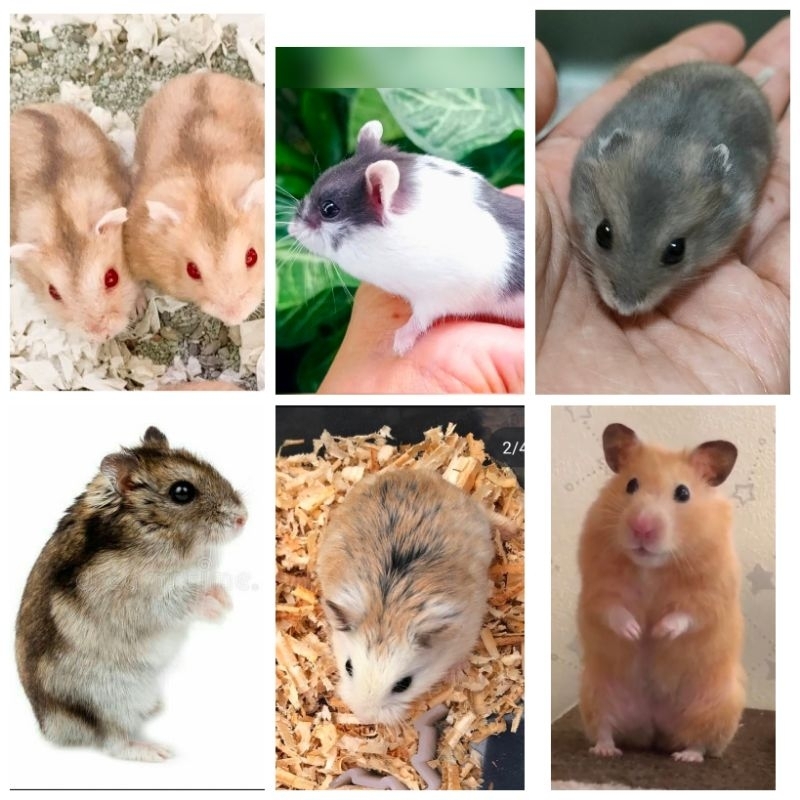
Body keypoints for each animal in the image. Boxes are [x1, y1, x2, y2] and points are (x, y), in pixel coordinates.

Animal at [10, 103, 142, 342]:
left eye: (112, 278)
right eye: (53, 292)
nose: (101, 335)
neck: (64, 219)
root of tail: (27, 108)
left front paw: (140, 308)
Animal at [15, 427, 247, 761]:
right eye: (182, 492)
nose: (244, 518)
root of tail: (48, 726)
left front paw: (226, 600)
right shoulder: (136, 599)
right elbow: (180, 601)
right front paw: (218, 611)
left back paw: (155, 707)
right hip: (111, 697)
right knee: (114, 741)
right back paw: (157, 752)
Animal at [316, 470, 495, 724]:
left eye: (403, 685)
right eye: (348, 667)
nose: (364, 716)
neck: (390, 610)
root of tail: (413, 472)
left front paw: (457, 674)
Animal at [577, 423, 744, 762]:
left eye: (683, 493)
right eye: (631, 485)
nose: (642, 528)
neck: (652, 567)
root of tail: (654, 731)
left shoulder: (712, 593)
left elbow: (687, 615)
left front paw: (656, 632)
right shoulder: (598, 587)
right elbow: (612, 610)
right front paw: (635, 631)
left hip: (715, 706)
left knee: (699, 740)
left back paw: (686, 756)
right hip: (596, 694)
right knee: (605, 728)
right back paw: (606, 751)